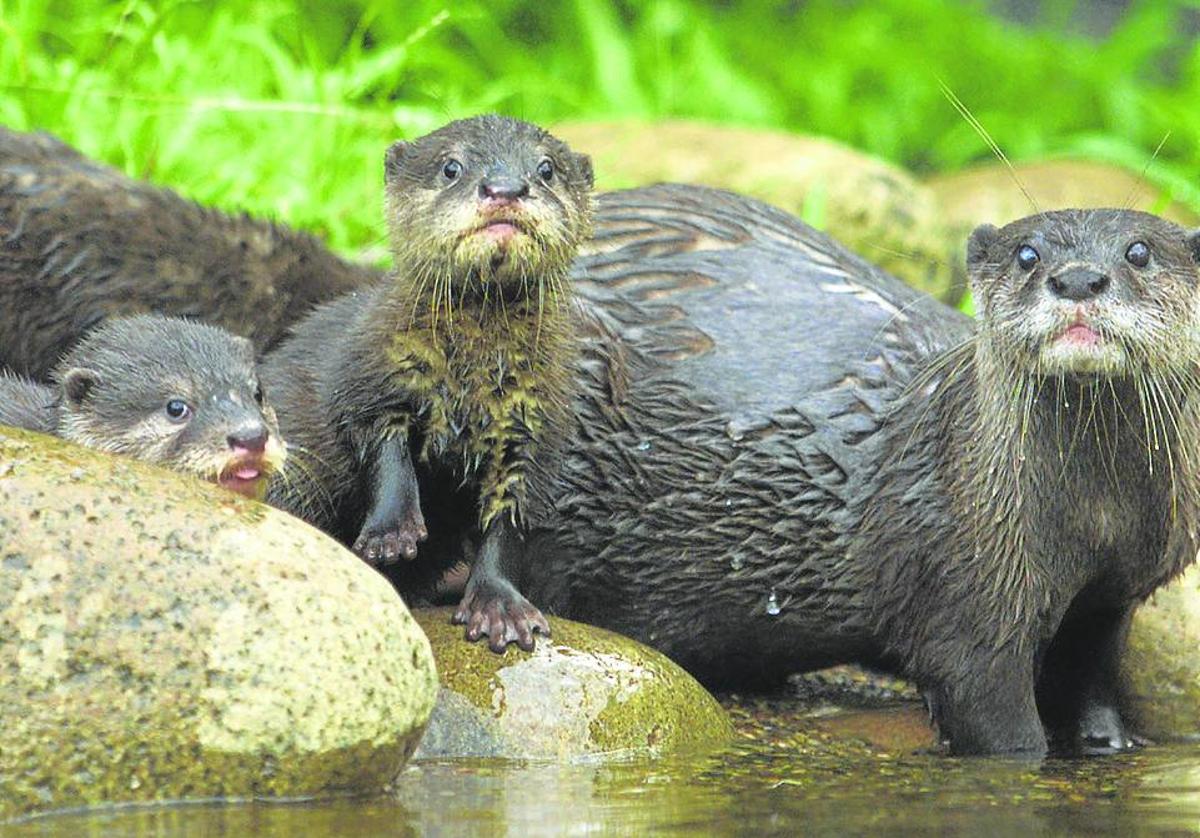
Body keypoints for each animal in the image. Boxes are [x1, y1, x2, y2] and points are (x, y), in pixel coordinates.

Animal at [266, 114, 595, 648]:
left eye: (547, 169)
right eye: (451, 167)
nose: (505, 188)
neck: (470, 383)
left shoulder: (534, 426)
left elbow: (509, 521)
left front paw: (499, 606)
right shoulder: (372, 375)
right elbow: (384, 450)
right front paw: (391, 533)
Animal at [530, 189, 1200, 758]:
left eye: (1139, 251)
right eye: (1027, 254)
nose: (1078, 278)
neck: (1095, 518)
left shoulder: (1114, 595)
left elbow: (1095, 684)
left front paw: (1109, 742)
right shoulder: (965, 585)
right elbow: (993, 716)